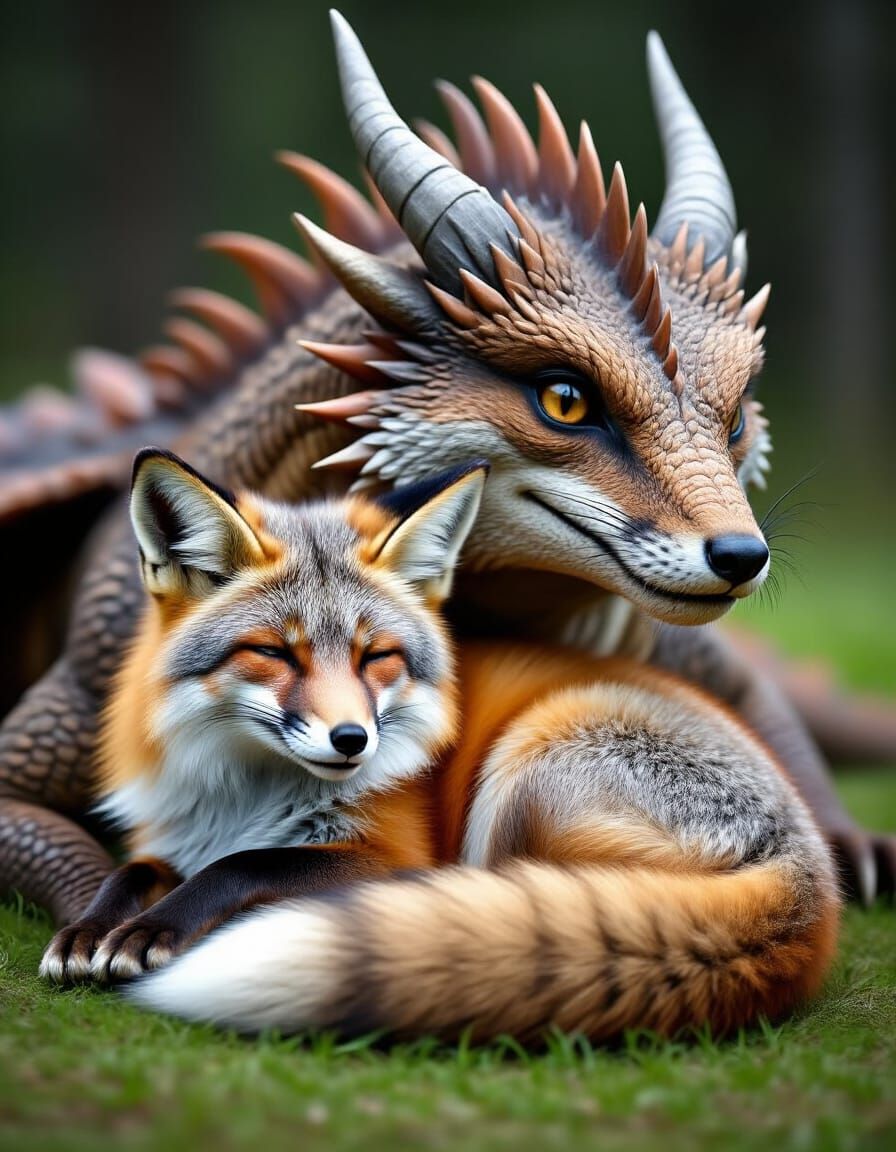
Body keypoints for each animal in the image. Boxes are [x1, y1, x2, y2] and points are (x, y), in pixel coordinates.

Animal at [41, 449, 840, 1043]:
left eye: (376, 657)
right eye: (273, 652)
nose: (352, 740)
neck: (244, 794)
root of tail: (810, 872)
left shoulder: (391, 859)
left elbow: (245, 864)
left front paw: (156, 929)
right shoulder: (176, 832)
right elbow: (136, 869)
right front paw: (90, 930)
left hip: (527, 766)